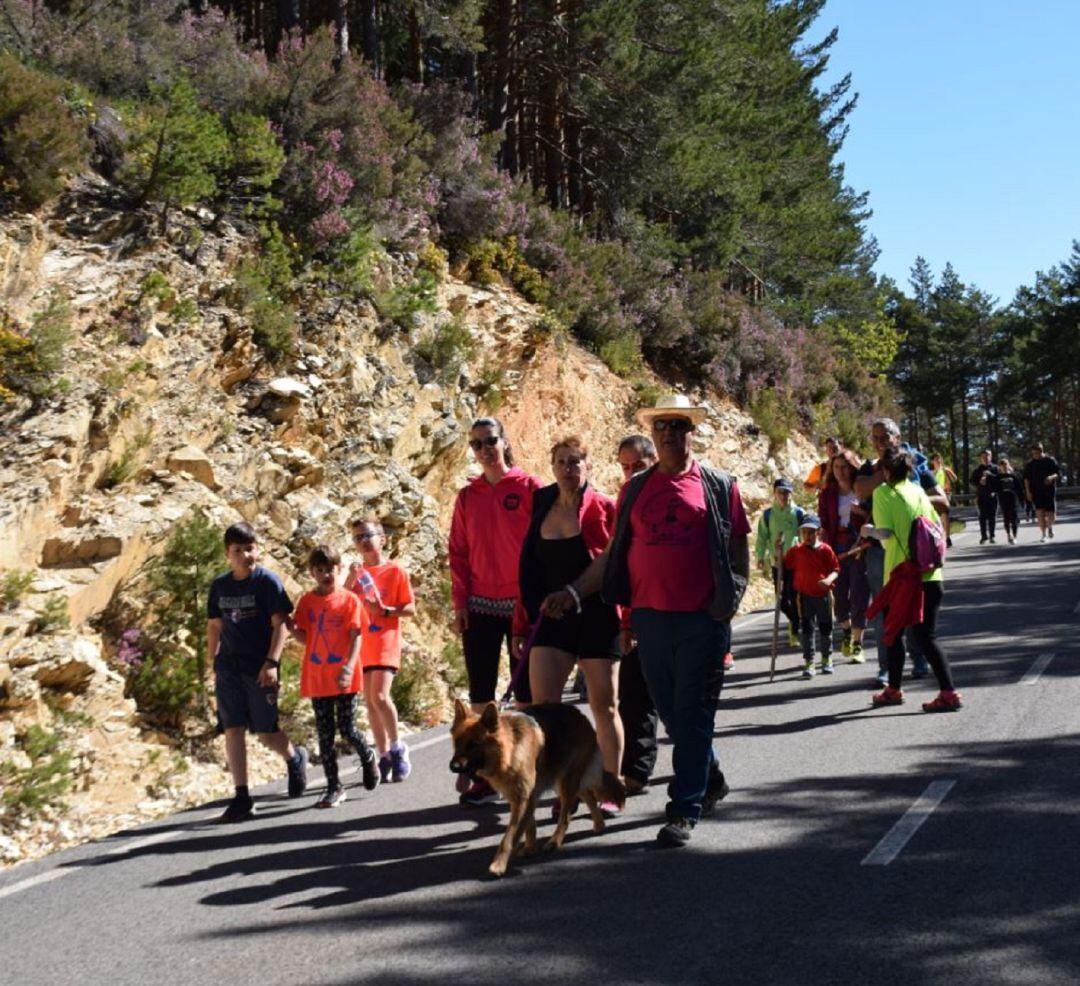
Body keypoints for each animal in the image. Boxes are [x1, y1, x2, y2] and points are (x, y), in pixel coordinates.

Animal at [451, 699, 630, 876]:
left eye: (474, 744)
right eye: (457, 742)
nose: (453, 767)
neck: (510, 750)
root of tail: (580, 715)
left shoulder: (523, 799)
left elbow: (509, 837)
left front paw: (499, 865)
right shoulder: (523, 798)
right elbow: (529, 826)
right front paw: (530, 849)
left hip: (566, 782)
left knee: (565, 816)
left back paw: (555, 841)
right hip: (562, 781)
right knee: (589, 796)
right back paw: (599, 824)